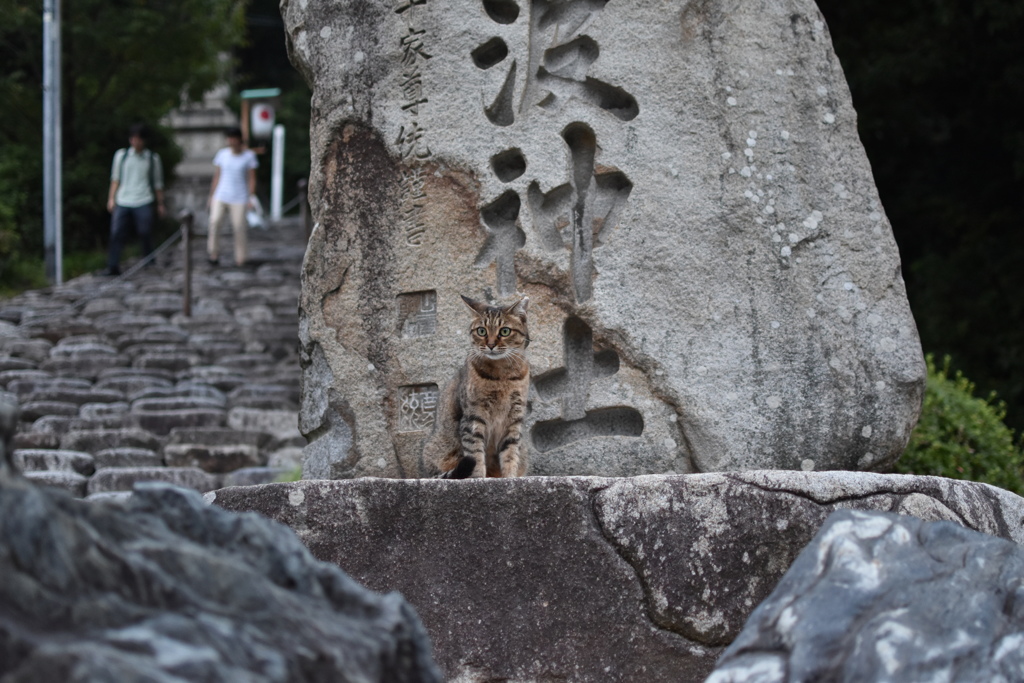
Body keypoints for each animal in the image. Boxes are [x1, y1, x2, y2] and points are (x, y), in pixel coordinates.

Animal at [425, 294, 536, 481]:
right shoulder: (473, 417)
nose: (490, 344)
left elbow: (510, 454)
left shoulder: (514, 418)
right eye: (481, 331)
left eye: (505, 331)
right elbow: (475, 454)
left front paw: (510, 478)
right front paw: (477, 478)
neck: (502, 375)